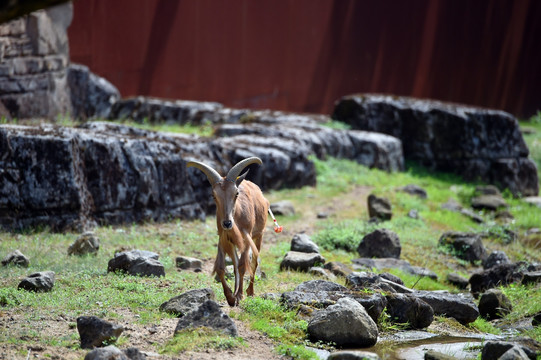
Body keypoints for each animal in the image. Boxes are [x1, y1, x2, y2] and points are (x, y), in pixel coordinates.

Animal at [186, 156, 272, 306]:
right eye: (213, 195)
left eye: (236, 193)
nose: (227, 223)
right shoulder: (223, 238)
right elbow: (222, 267)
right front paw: (231, 297)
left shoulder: (246, 237)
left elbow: (243, 265)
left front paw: (240, 295)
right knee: (236, 262)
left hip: (258, 236)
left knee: (254, 262)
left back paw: (250, 291)